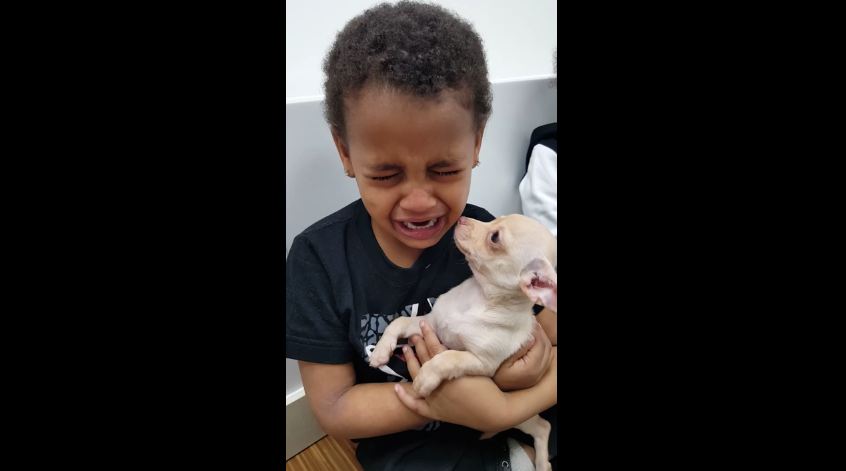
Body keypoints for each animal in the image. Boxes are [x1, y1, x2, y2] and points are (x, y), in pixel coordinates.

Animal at [370, 215, 556, 471]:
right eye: (493, 219)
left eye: (495, 237)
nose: (462, 219)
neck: (478, 298)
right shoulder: (431, 322)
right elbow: (399, 322)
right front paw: (380, 350)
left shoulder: (482, 363)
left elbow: (448, 358)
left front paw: (426, 377)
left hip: (522, 417)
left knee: (543, 427)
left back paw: (542, 462)